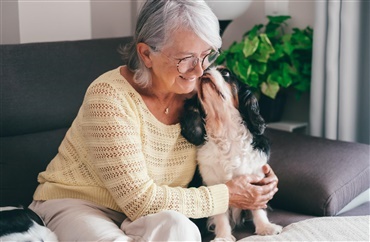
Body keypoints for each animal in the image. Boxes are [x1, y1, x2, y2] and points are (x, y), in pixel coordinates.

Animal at [181, 65, 282, 240]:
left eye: (226, 73)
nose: (204, 71)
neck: (226, 131)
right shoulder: (214, 183)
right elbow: (220, 213)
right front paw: (224, 237)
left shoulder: (255, 177)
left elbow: (257, 208)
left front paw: (266, 228)